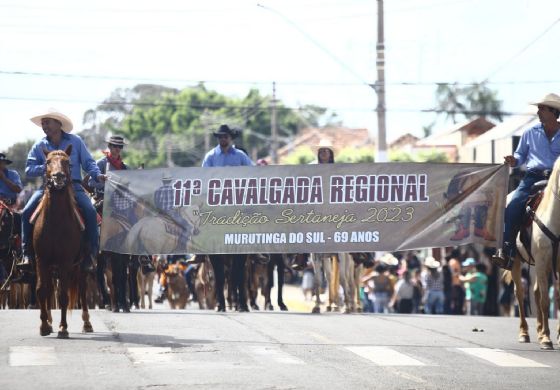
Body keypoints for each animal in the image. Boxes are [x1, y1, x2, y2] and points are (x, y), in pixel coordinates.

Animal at [33, 146, 92, 338]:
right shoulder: (41, 260)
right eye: (47, 162)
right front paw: (44, 326)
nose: (58, 177)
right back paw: (50, 321)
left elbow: (64, 295)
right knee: (49, 289)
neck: (55, 222)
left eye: (67, 162)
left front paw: (63, 328)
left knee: (82, 289)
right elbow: (41, 291)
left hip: (80, 267)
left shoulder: (66, 262)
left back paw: (87, 323)